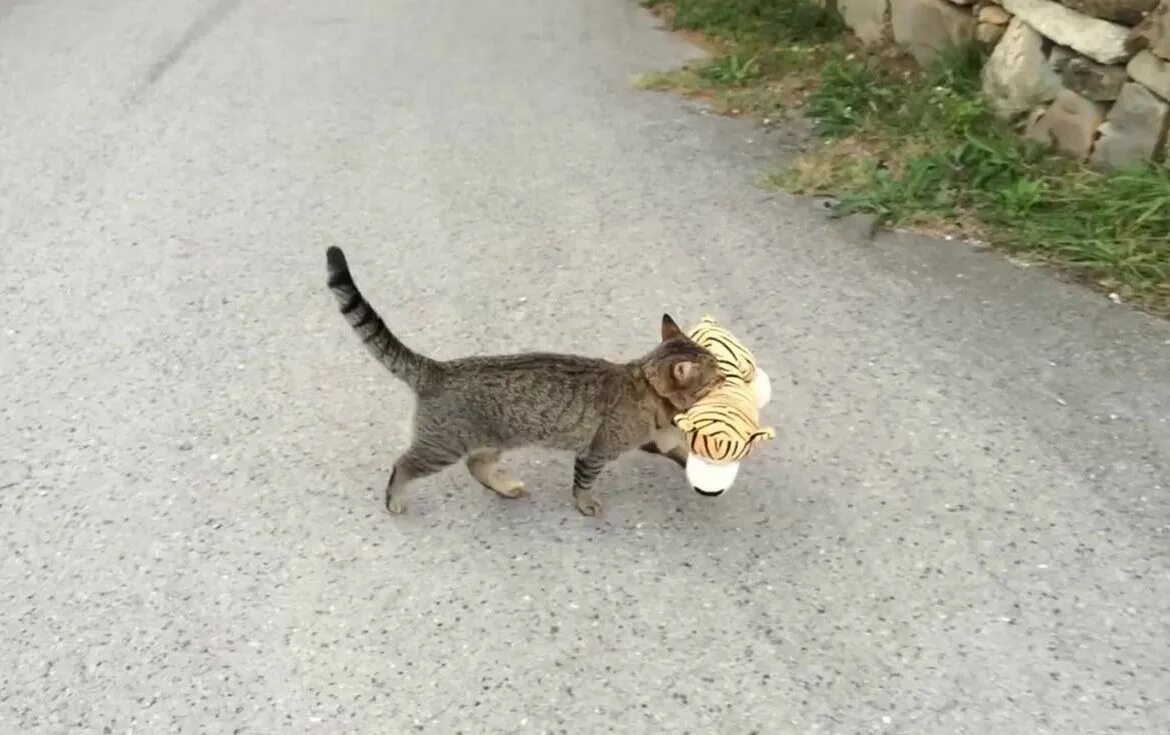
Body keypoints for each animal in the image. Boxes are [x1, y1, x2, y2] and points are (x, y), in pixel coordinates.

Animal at [322, 246, 720, 517]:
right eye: (716, 371)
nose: (728, 372)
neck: (647, 388)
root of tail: (438, 368)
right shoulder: (596, 451)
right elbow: (583, 482)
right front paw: (585, 503)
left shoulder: (654, 440)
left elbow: (682, 452)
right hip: (442, 446)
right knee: (404, 465)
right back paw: (395, 499)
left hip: (492, 439)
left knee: (477, 466)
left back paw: (505, 489)